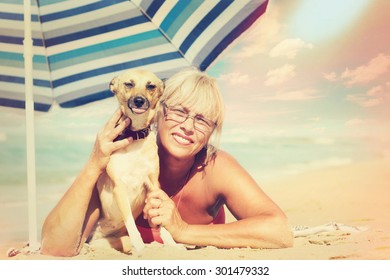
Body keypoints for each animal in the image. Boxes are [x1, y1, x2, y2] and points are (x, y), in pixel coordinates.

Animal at [93, 68, 175, 254]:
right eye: (129, 84)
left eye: (150, 86)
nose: (139, 100)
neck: (135, 137)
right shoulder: (119, 186)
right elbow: (130, 220)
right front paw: (139, 245)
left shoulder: (153, 185)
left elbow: (158, 216)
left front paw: (169, 240)